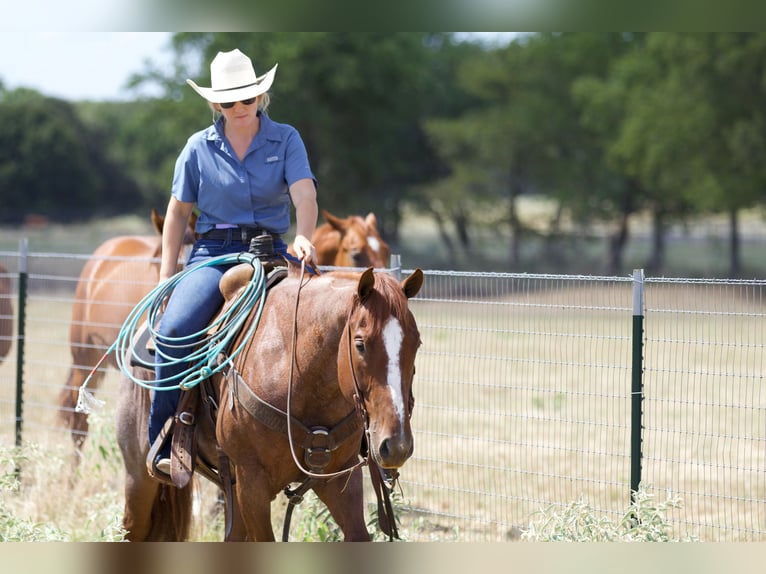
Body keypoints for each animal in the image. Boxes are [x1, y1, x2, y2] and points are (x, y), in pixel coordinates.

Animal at [115, 266, 426, 544]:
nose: (396, 446)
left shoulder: (339, 478)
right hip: (140, 478)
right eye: (360, 344)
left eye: (417, 343)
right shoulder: (252, 484)